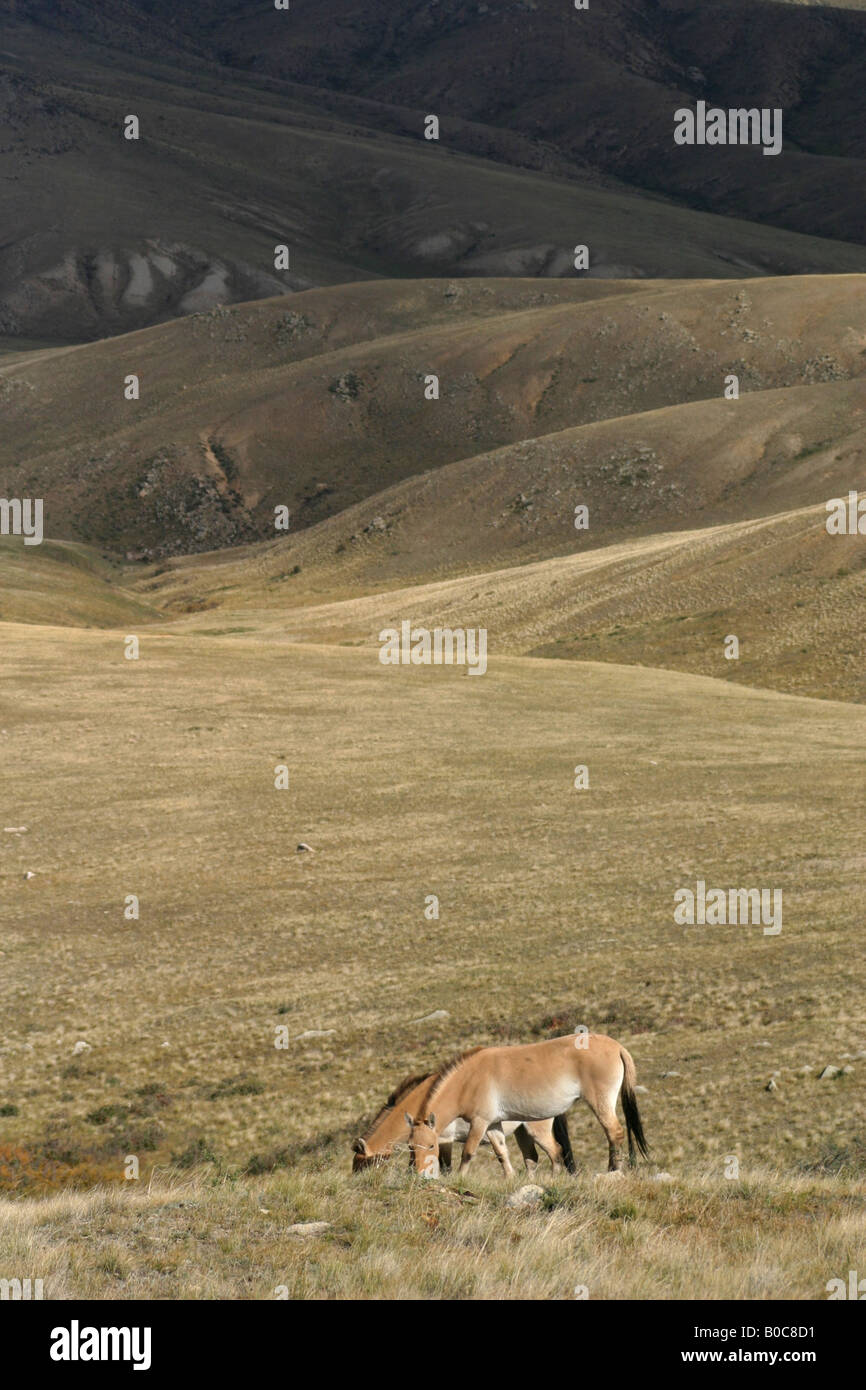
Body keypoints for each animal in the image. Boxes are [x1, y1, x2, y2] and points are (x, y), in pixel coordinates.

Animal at [353, 1056, 575, 1178]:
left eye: (365, 1164)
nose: (359, 1184)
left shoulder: (444, 1141)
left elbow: (445, 1167)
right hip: (522, 1132)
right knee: (531, 1158)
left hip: (537, 1131)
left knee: (555, 1152)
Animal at [408, 1028, 647, 1178]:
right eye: (411, 1146)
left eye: (431, 1145)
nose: (419, 1174)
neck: (469, 1078)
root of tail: (617, 1047)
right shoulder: (493, 1124)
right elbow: (502, 1152)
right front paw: (510, 1179)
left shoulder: (479, 1122)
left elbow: (468, 1152)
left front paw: (459, 1178)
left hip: (600, 1103)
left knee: (613, 1132)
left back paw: (613, 1170)